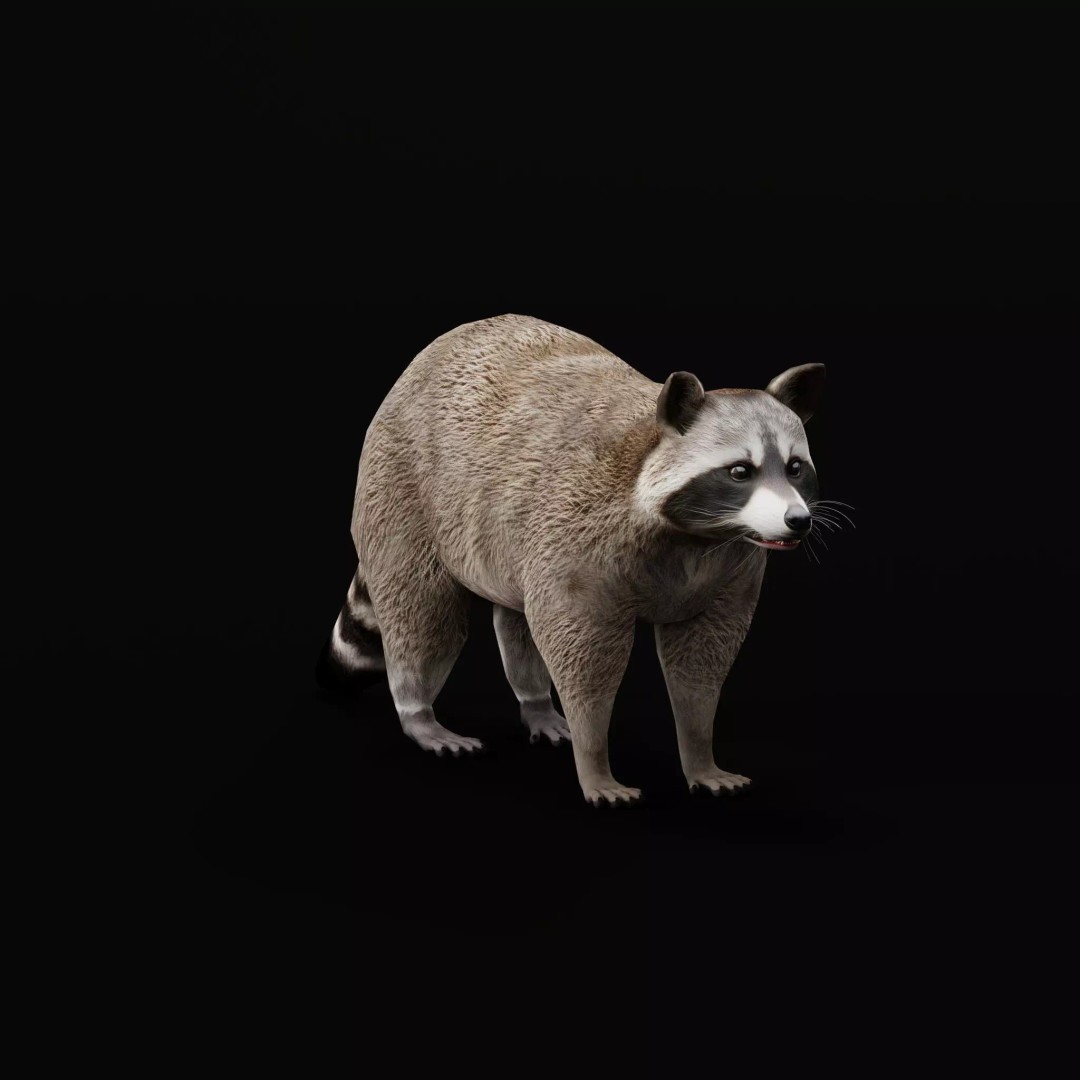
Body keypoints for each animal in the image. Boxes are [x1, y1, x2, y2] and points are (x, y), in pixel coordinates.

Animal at [317, 315, 826, 806]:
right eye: (740, 471)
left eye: (795, 467)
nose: (797, 521)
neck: (692, 537)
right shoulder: (579, 531)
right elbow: (585, 656)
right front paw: (594, 761)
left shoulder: (731, 563)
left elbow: (701, 659)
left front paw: (700, 754)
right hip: (401, 487)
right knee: (423, 611)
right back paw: (418, 710)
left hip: (510, 533)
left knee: (517, 616)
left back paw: (535, 701)